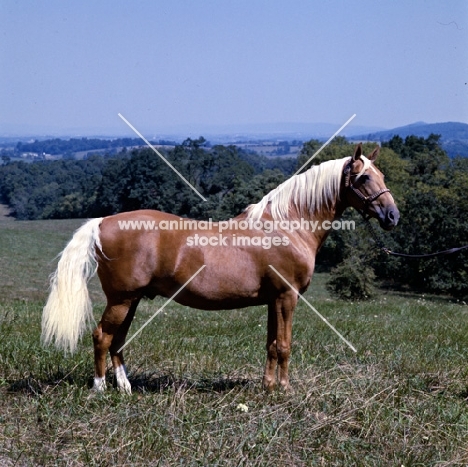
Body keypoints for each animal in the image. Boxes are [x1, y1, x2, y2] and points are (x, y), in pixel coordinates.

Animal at [42, 144, 398, 394]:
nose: (392, 216)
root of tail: (103, 222)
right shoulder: (287, 297)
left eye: (382, 176)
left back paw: (126, 388)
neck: (287, 225)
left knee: (117, 340)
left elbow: (271, 345)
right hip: (121, 299)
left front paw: (268, 387)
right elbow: (284, 346)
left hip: (132, 300)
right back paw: (100, 389)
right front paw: (284, 390)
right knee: (102, 336)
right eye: (364, 177)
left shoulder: (274, 300)